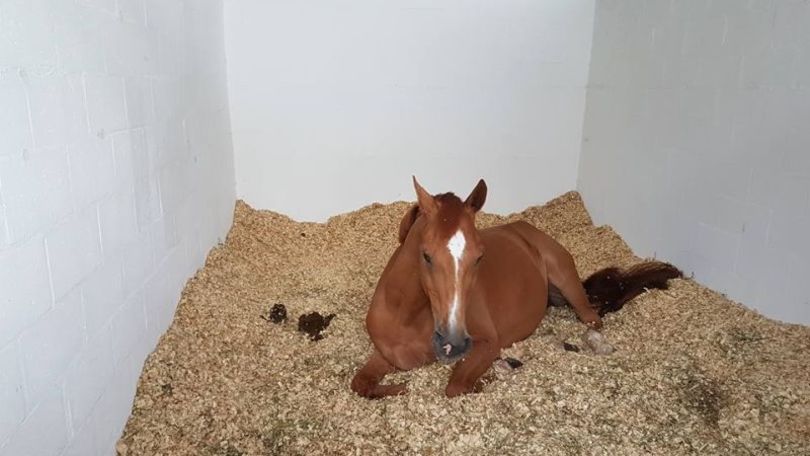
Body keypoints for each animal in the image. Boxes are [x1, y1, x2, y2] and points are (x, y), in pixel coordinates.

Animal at [351, 178, 682, 398]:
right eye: (426, 255)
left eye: (479, 256)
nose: (454, 343)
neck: (407, 317)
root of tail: (524, 229)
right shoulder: (386, 356)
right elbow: (360, 384)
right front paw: (397, 388)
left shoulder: (488, 343)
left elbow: (456, 386)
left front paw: (489, 380)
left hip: (570, 287)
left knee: (593, 318)